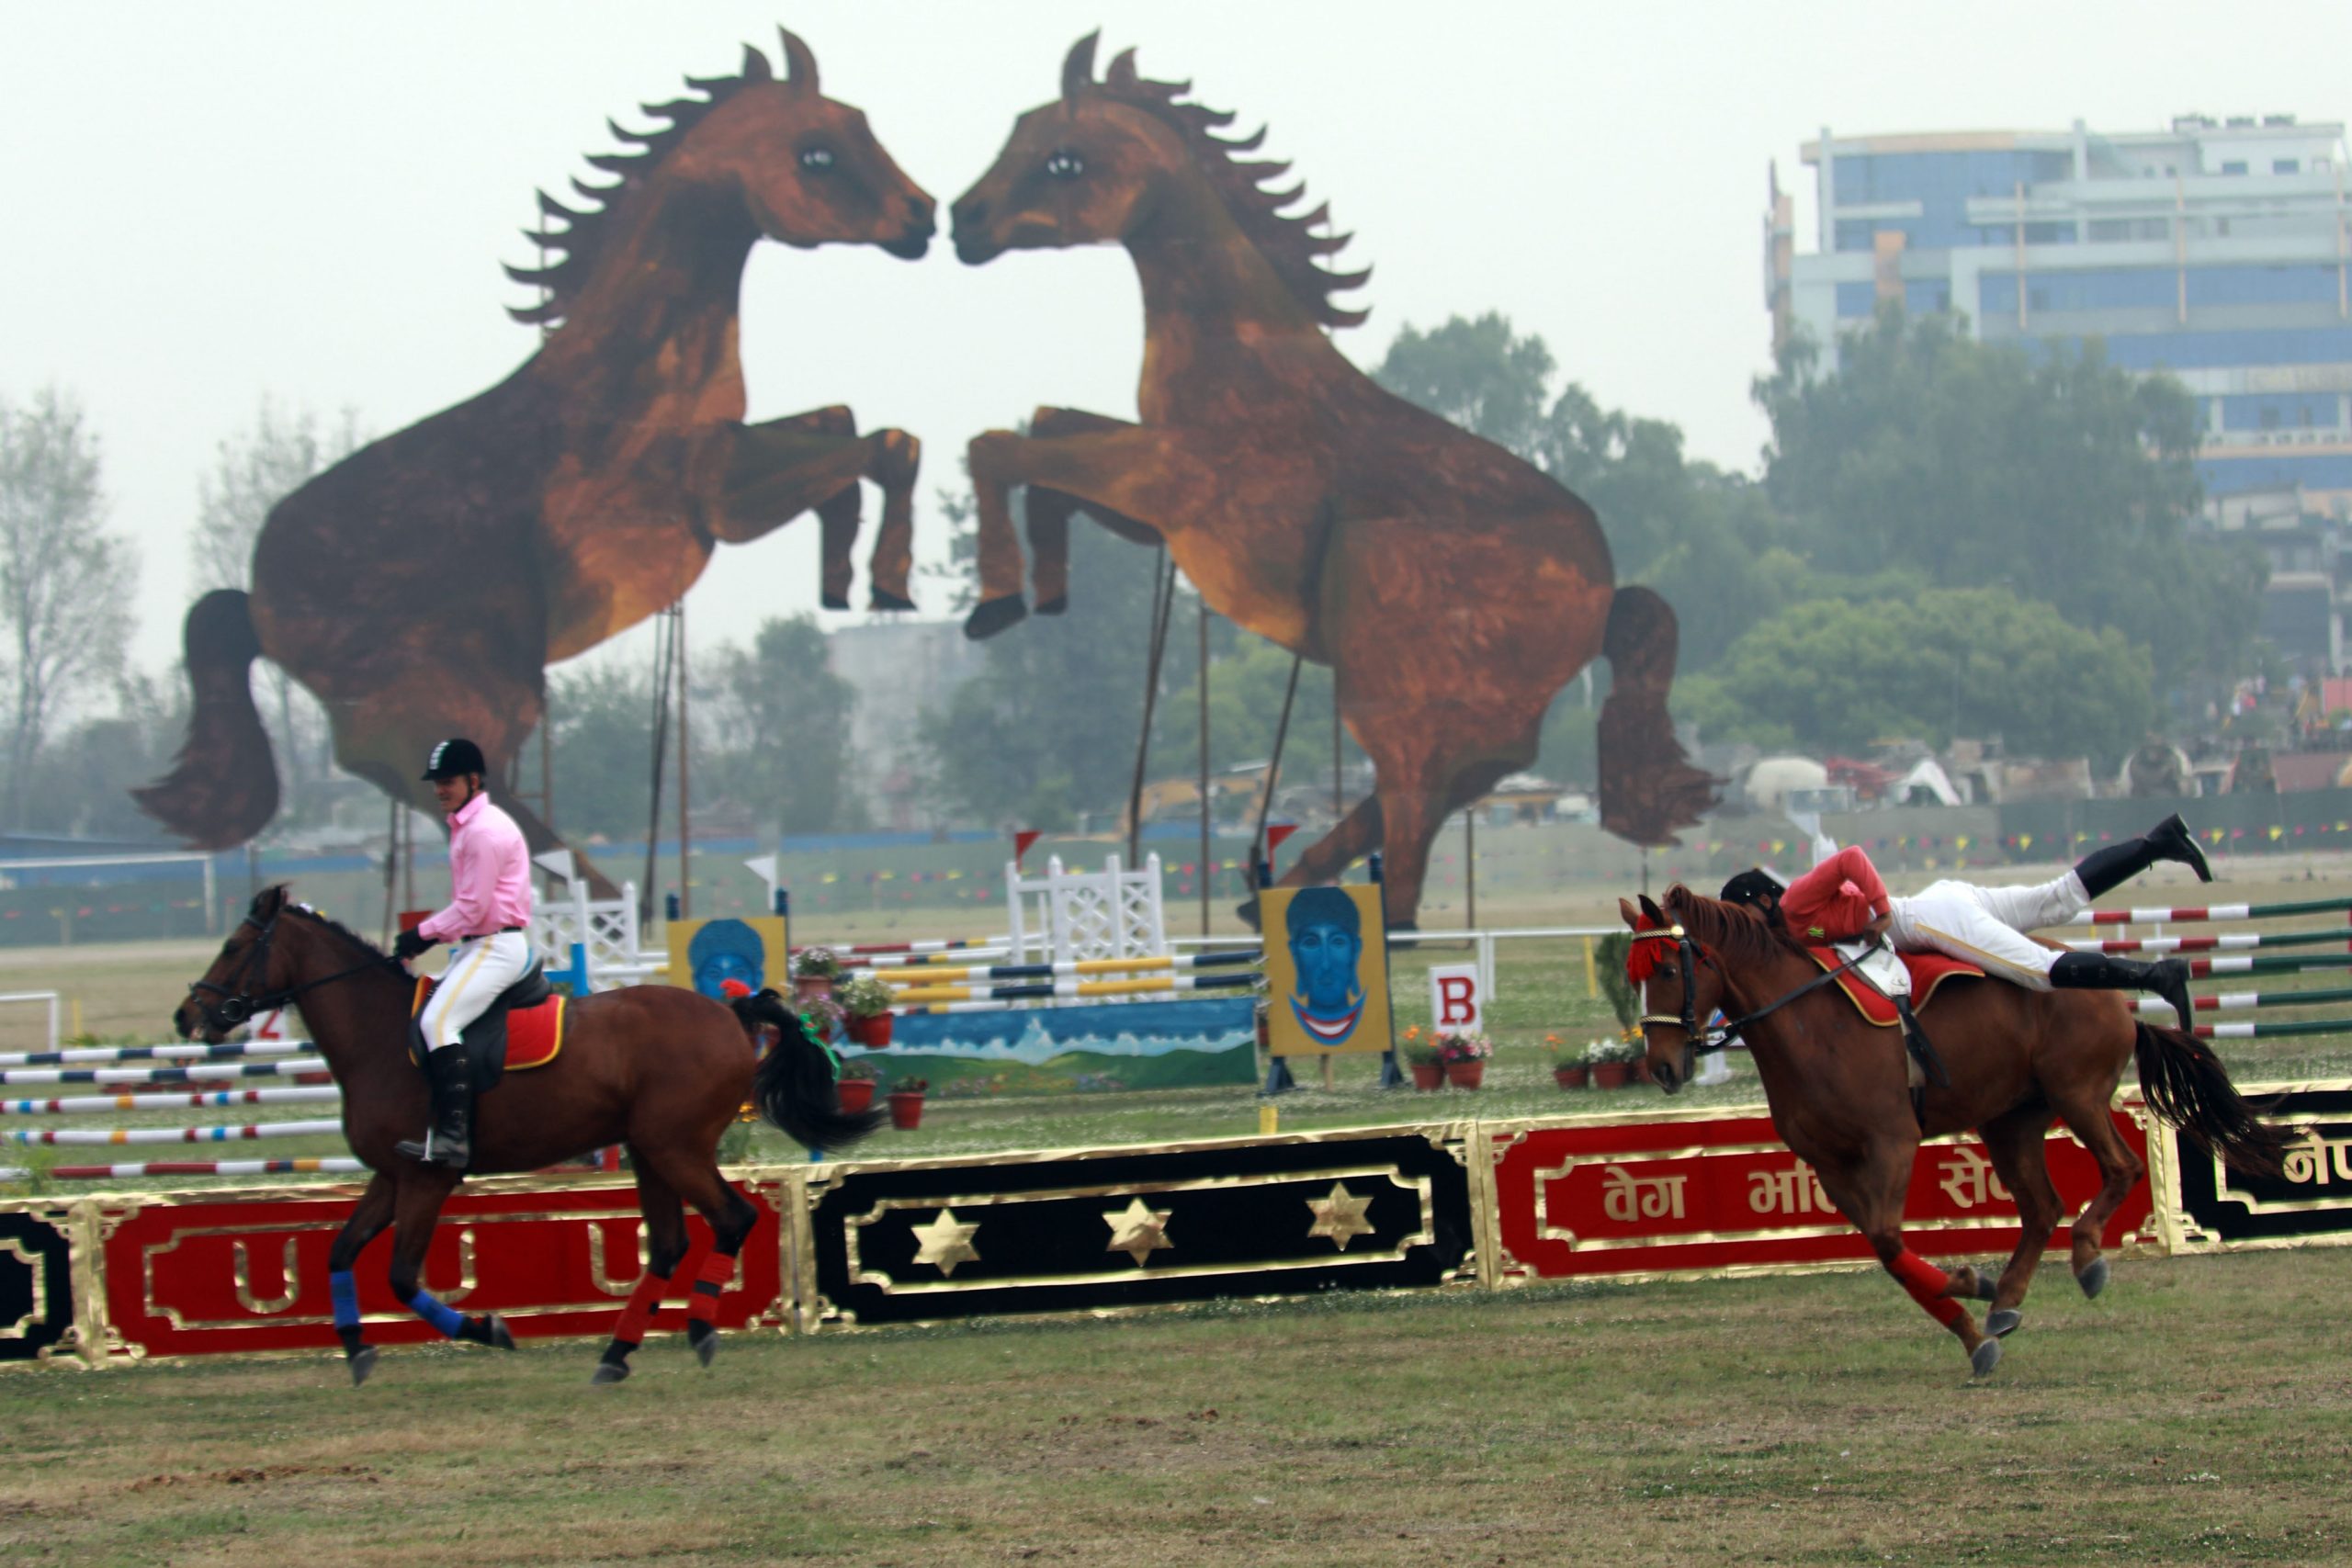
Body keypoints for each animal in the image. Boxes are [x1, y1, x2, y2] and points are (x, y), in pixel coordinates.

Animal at [140, 30, 935, 893]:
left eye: (860, 124)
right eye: (816, 153)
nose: (924, 216)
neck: (631, 376)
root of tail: (255, 601)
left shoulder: (741, 450)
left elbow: (858, 429)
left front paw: (852, 579)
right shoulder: (720, 501)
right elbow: (877, 442)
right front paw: (881, 577)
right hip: (473, 681)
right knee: (419, 770)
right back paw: (592, 885)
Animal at [171, 888, 875, 1392]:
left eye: (234, 945)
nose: (187, 1016)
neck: (377, 1036)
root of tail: (728, 1011)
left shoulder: (427, 1177)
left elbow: (400, 1276)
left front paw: (487, 1328)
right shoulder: (391, 1177)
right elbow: (341, 1252)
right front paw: (358, 1348)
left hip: (676, 1148)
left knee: (733, 1218)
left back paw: (698, 1329)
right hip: (651, 1151)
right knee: (671, 1243)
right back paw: (615, 1354)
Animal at [941, 36, 1712, 931]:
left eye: (1062, 160)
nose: (962, 223)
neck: (1238, 359)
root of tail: (1608, 591)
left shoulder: (1168, 485)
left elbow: (1002, 446)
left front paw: (997, 604)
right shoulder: (1150, 504)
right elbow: (1043, 430)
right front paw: (1047, 585)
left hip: (1389, 676)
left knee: (1418, 794)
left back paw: (1357, 910)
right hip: (1469, 698)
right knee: (1457, 780)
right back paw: (1273, 890)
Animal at [1618, 888, 2277, 1382]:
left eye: (1670, 968)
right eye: (1636, 978)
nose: (1663, 1068)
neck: (1808, 1025)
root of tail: (2119, 1002)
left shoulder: (1891, 1144)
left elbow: (1889, 1242)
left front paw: (1966, 1288)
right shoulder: (1831, 1166)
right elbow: (1890, 1255)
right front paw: (1972, 1321)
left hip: (2078, 1095)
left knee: (2121, 1169)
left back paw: (2086, 1256)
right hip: (2010, 1121)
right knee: (2043, 1207)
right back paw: (2005, 1299)